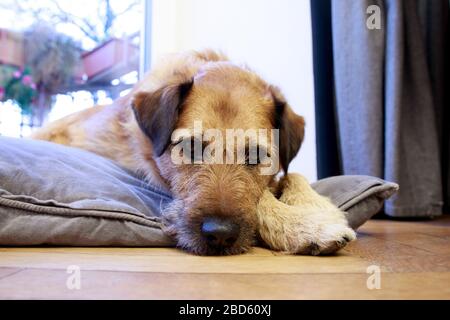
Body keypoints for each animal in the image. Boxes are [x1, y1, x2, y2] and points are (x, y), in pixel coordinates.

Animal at [32, 50, 356, 255]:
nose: (220, 234)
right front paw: (306, 227)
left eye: (256, 155)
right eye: (190, 147)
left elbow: (293, 174)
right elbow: (263, 197)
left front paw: (314, 206)